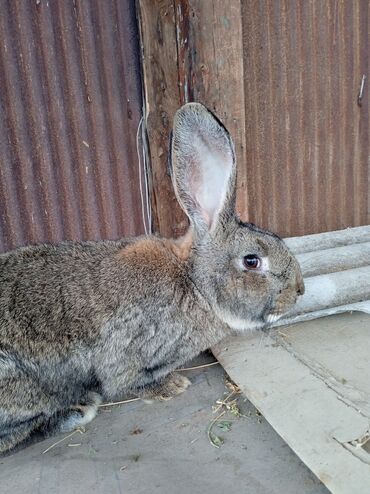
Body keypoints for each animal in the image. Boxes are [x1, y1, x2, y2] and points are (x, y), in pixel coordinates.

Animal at [0, 102, 304, 454]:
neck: (194, 283)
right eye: (252, 261)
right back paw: (78, 409)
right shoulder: (126, 356)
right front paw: (171, 386)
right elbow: (126, 382)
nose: (300, 289)